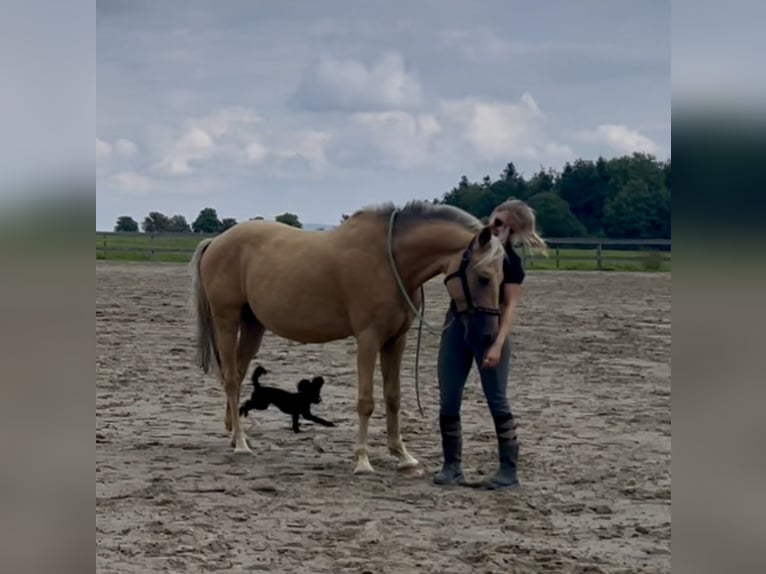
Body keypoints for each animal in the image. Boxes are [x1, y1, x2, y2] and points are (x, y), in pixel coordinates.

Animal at [189, 199, 507, 475]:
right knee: (231, 380)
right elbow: (366, 401)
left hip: (253, 325)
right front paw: (363, 461)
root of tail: (216, 241)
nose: (489, 334)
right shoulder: (368, 338)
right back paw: (242, 444)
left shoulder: (395, 341)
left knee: (239, 375)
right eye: (483, 277)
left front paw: (403, 456)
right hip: (227, 320)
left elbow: (393, 397)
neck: (390, 260)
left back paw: (235, 435)